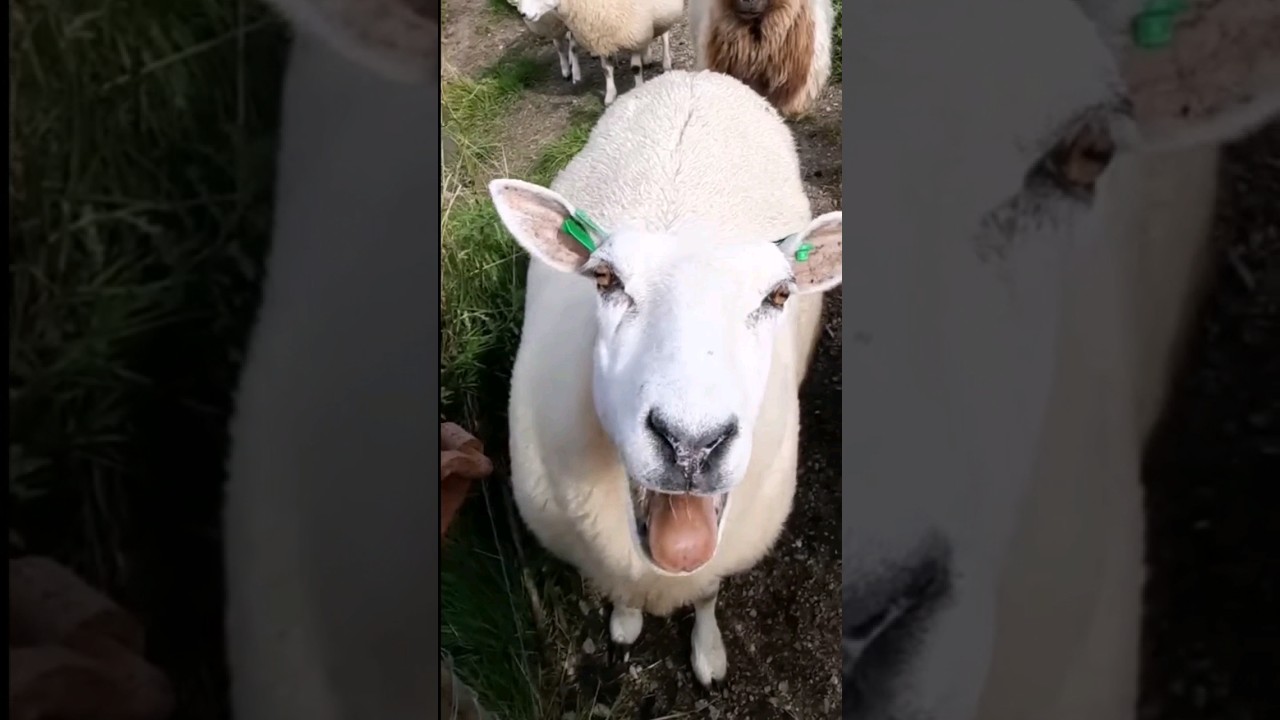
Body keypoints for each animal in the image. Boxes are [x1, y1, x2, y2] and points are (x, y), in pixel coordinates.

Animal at [489, 69, 842, 687]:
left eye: (778, 295)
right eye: (606, 279)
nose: (691, 444)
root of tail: (697, 76)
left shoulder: (718, 557)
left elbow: (706, 595)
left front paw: (708, 652)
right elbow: (623, 593)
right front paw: (626, 623)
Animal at [516, 0, 684, 105]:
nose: (523, 14)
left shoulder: (635, 34)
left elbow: (635, 69)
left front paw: (638, 88)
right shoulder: (600, 38)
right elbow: (606, 70)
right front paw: (610, 96)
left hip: (663, 15)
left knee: (665, 35)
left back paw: (666, 63)